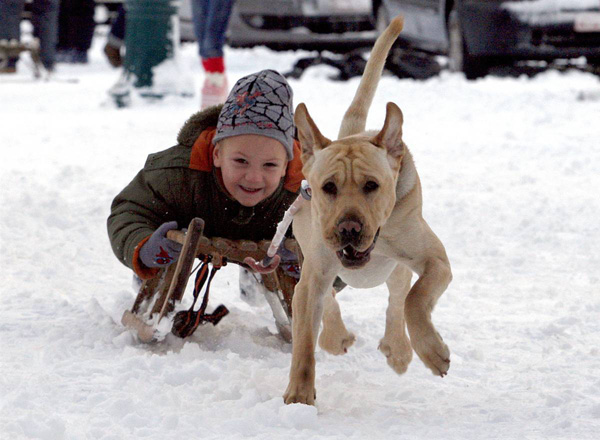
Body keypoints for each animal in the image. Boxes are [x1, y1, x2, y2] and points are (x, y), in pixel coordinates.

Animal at [284, 18, 452, 410]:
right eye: (328, 187)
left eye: (372, 185)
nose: (348, 228)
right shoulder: (313, 272)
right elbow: (304, 338)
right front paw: (299, 396)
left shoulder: (434, 259)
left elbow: (415, 299)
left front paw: (431, 351)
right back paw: (336, 336)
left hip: (398, 267)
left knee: (398, 295)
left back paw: (399, 348)